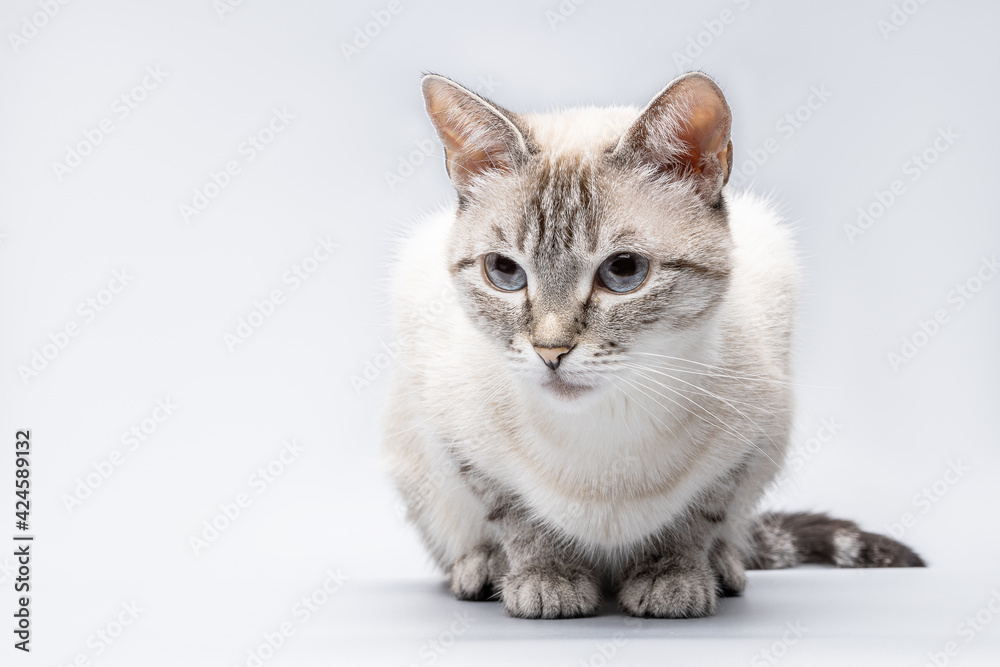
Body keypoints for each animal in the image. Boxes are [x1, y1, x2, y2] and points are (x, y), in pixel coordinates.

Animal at [380, 70, 920, 620]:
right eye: (505, 272)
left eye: (624, 271)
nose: (550, 353)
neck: (602, 427)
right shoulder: (460, 443)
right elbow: (518, 518)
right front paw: (547, 579)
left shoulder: (747, 444)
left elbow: (694, 518)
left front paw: (671, 579)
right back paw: (482, 569)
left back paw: (723, 568)